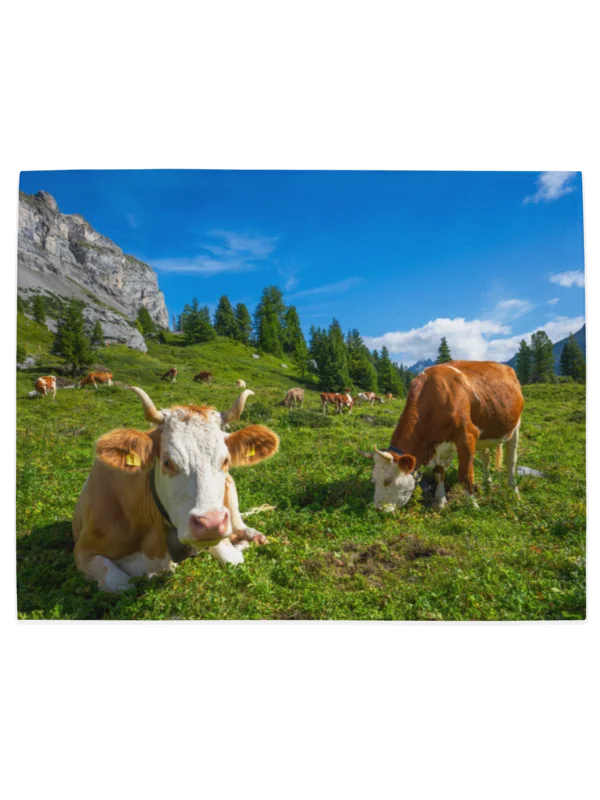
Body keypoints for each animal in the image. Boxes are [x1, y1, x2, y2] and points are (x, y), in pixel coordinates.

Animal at [72, 389, 279, 592]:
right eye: (167, 462)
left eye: (226, 460)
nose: (211, 523)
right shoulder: (83, 551)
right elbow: (119, 582)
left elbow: (233, 559)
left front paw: (241, 544)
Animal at [359, 361, 524, 512]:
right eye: (374, 480)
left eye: (388, 480)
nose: (379, 509)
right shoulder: (438, 444)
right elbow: (439, 473)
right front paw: (440, 501)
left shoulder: (467, 436)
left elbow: (465, 475)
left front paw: (473, 506)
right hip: (485, 433)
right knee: (486, 458)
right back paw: (487, 484)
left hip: (515, 426)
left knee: (511, 461)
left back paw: (514, 493)